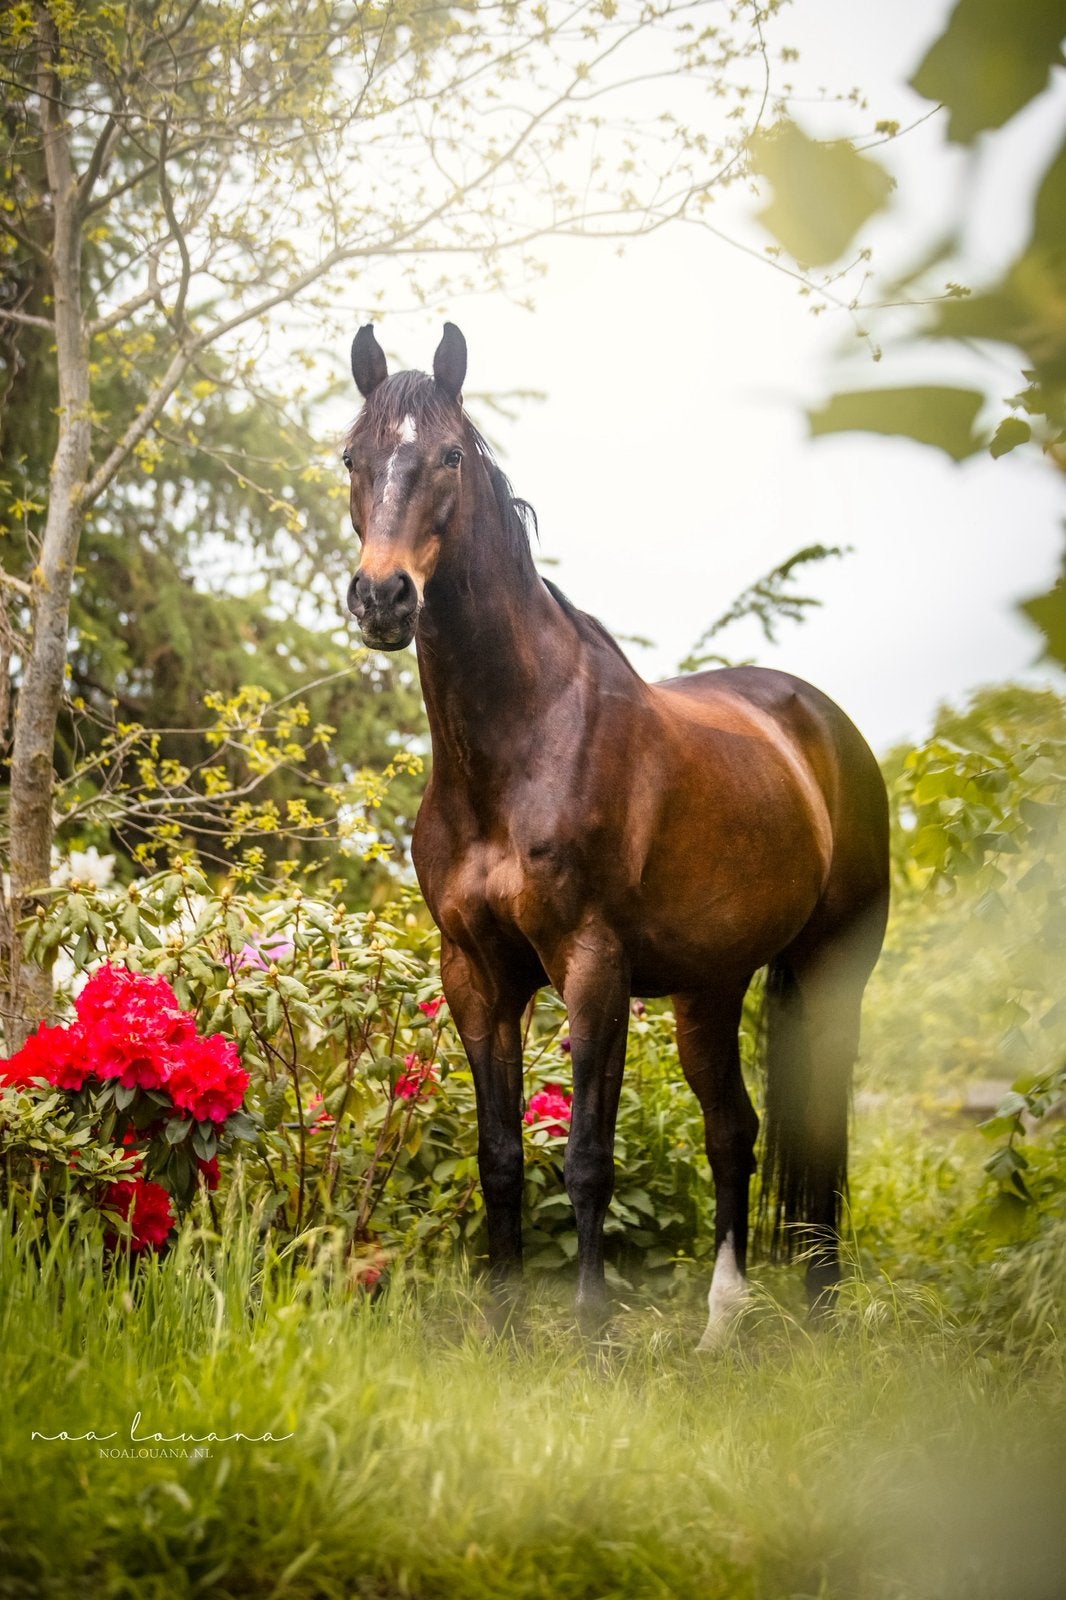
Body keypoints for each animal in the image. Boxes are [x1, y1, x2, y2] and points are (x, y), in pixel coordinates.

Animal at [342, 322, 890, 1347]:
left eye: (448, 457)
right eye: (352, 458)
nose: (383, 600)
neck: (519, 743)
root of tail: (828, 729)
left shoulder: (591, 965)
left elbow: (589, 1157)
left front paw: (594, 1334)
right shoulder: (476, 975)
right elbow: (501, 1156)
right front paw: (505, 1328)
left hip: (836, 970)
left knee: (817, 1132)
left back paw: (822, 1308)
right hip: (710, 989)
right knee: (734, 1133)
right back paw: (721, 1328)